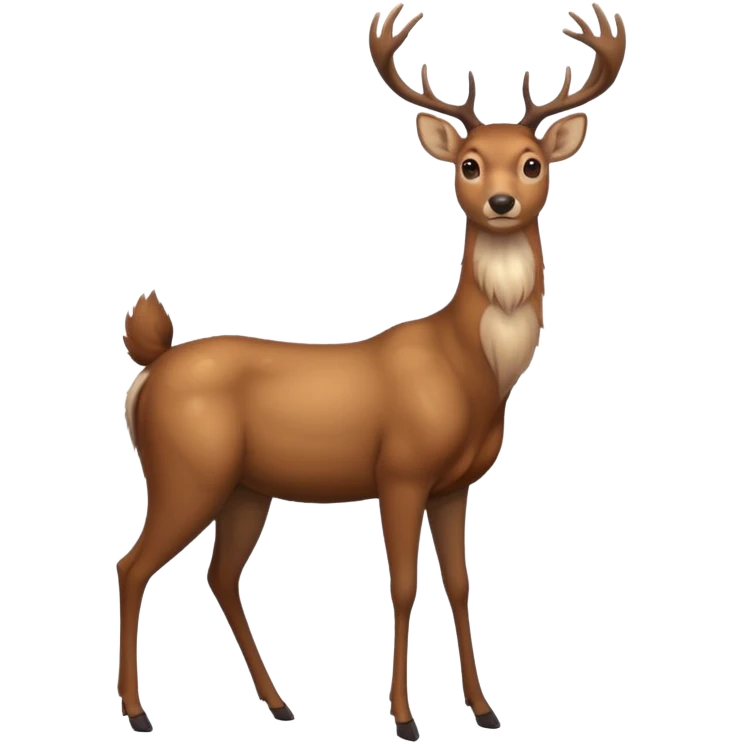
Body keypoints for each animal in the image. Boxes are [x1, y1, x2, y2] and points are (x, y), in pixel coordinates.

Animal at [116, 2, 626, 738]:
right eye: (470, 163)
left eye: (532, 163)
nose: (500, 202)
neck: (471, 370)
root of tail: (150, 364)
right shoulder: (401, 471)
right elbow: (404, 585)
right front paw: (405, 718)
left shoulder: (455, 484)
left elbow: (461, 582)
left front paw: (483, 709)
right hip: (186, 471)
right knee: (132, 565)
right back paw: (137, 711)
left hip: (245, 488)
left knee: (221, 574)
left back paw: (279, 702)